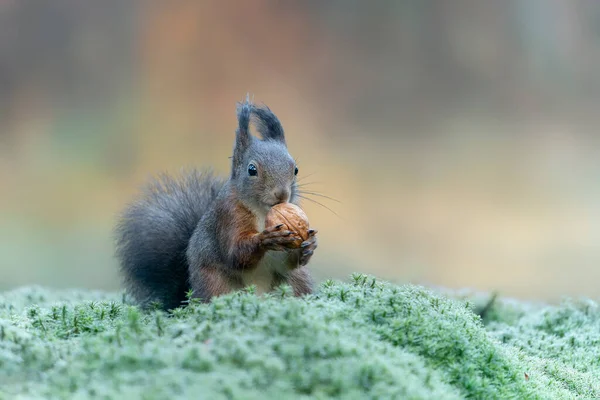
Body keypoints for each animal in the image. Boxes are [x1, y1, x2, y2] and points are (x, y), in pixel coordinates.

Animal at [113, 97, 318, 310]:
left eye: (295, 169)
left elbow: (287, 263)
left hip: (295, 281)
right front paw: (266, 238)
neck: (263, 212)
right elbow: (236, 254)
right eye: (252, 169)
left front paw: (309, 245)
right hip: (215, 283)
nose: (282, 194)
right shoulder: (228, 216)